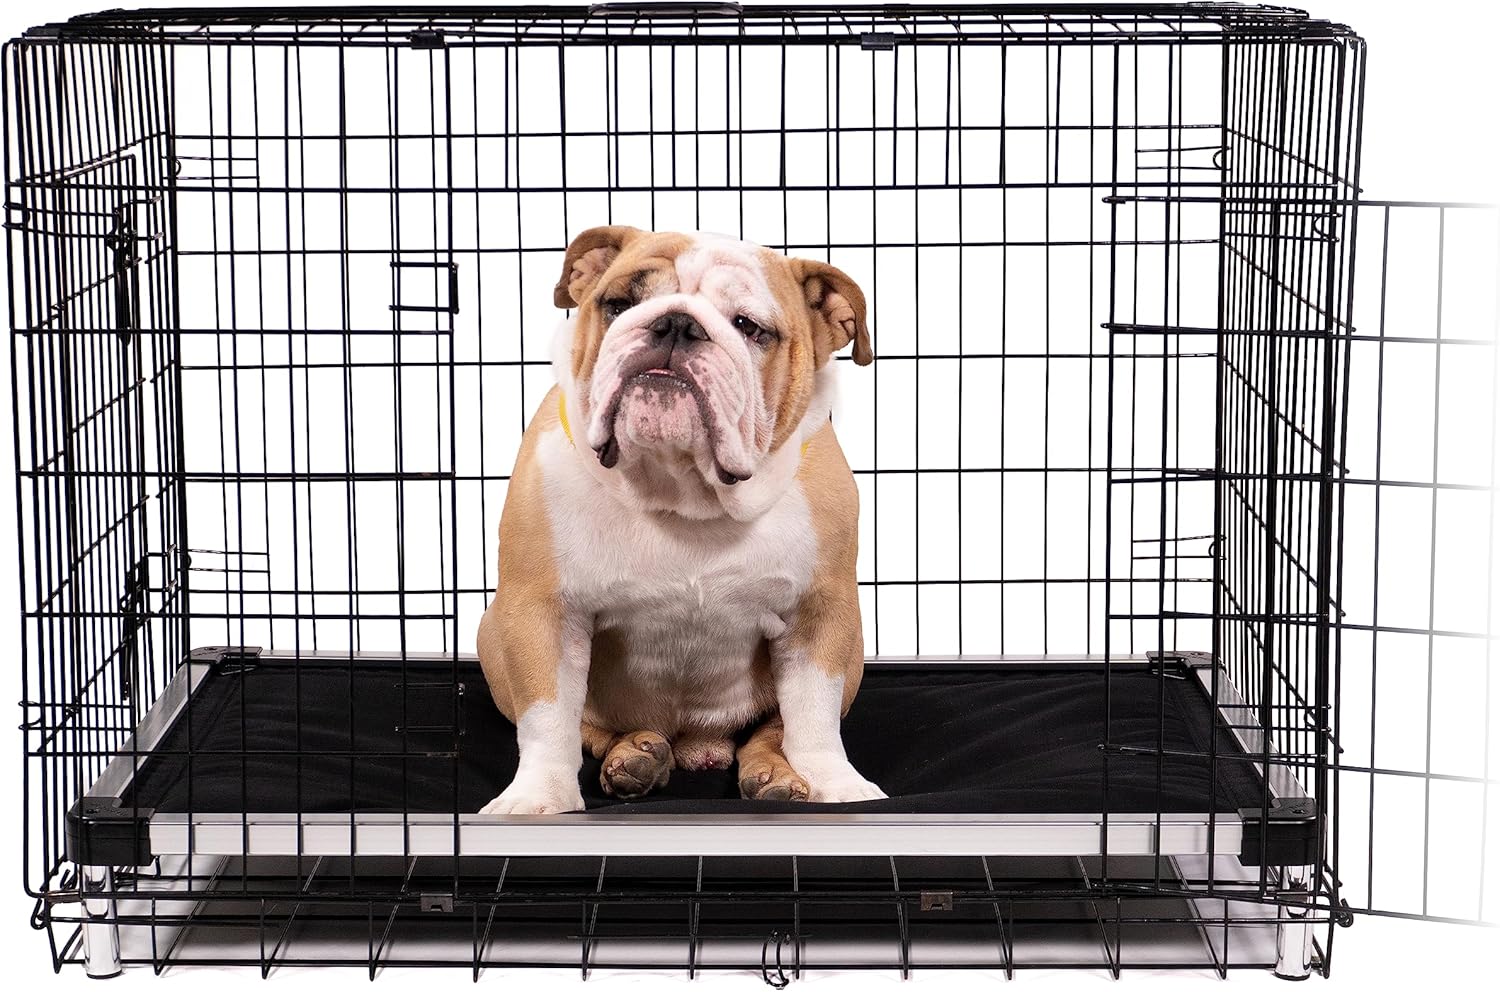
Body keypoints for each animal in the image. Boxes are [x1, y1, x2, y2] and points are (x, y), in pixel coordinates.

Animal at [476, 225, 883, 814]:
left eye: (749, 327)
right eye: (618, 304)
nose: (675, 323)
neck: (685, 491)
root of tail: (696, 742)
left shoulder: (821, 613)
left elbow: (813, 716)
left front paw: (838, 784)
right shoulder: (541, 610)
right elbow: (548, 717)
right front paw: (537, 797)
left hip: (850, 660)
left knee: (770, 731)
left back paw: (773, 776)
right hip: (492, 636)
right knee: (590, 729)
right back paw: (635, 756)